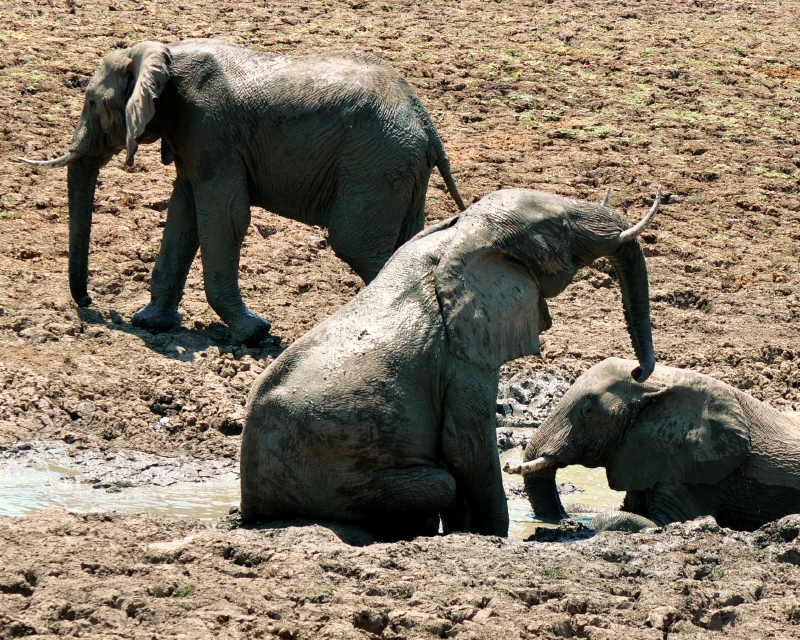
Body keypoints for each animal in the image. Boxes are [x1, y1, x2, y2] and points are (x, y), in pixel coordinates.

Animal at [21, 39, 466, 345]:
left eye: (93, 102)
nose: (87, 302)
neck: (160, 53)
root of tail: (427, 124)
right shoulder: (194, 139)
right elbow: (183, 214)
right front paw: (150, 323)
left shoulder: (211, 130)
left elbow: (225, 215)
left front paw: (253, 332)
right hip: (397, 169)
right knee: (406, 241)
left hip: (375, 165)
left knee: (356, 244)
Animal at [241, 187, 661, 541]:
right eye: (558, 229)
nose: (638, 371)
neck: (461, 235)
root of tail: (250, 507)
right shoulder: (463, 353)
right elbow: (467, 449)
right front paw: (493, 537)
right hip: (334, 481)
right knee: (440, 483)